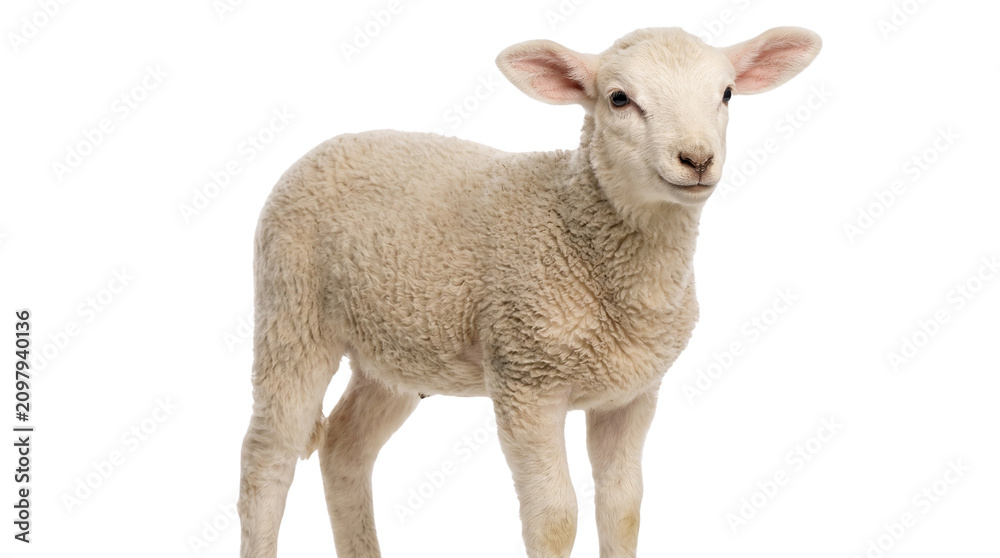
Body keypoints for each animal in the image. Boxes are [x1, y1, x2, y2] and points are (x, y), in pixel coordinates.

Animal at [238, 25, 821, 558]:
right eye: (619, 98)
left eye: (727, 94)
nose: (696, 160)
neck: (578, 231)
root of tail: (329, 145)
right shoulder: (526, 382)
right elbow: (555, 518)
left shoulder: (633, 393)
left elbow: (623, 507)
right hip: (291, 307)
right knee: (267, 459)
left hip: (395, 352)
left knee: (344, 447)